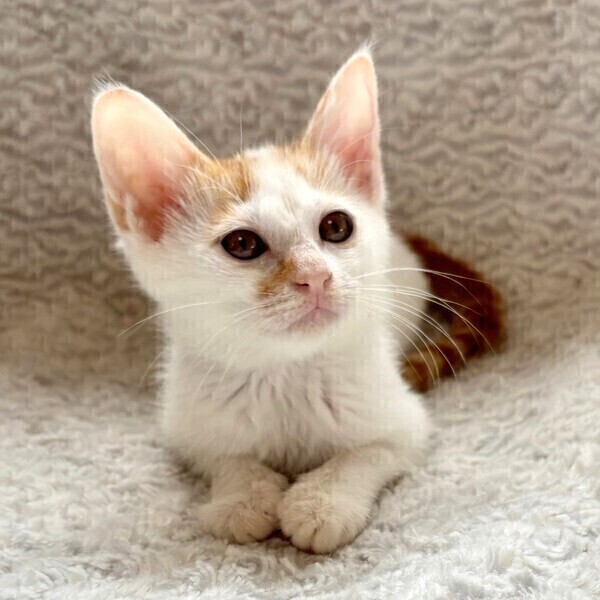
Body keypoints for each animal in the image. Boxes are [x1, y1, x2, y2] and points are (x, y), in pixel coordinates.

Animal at [91, 49, 503, 553]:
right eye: (243, 244)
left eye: (336, 226)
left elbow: (368, 453)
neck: (286, 374)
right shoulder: (187, 424)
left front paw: (321, 502)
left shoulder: (404, 420)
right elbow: (224, 457)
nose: (315, 276)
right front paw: (243, 496)